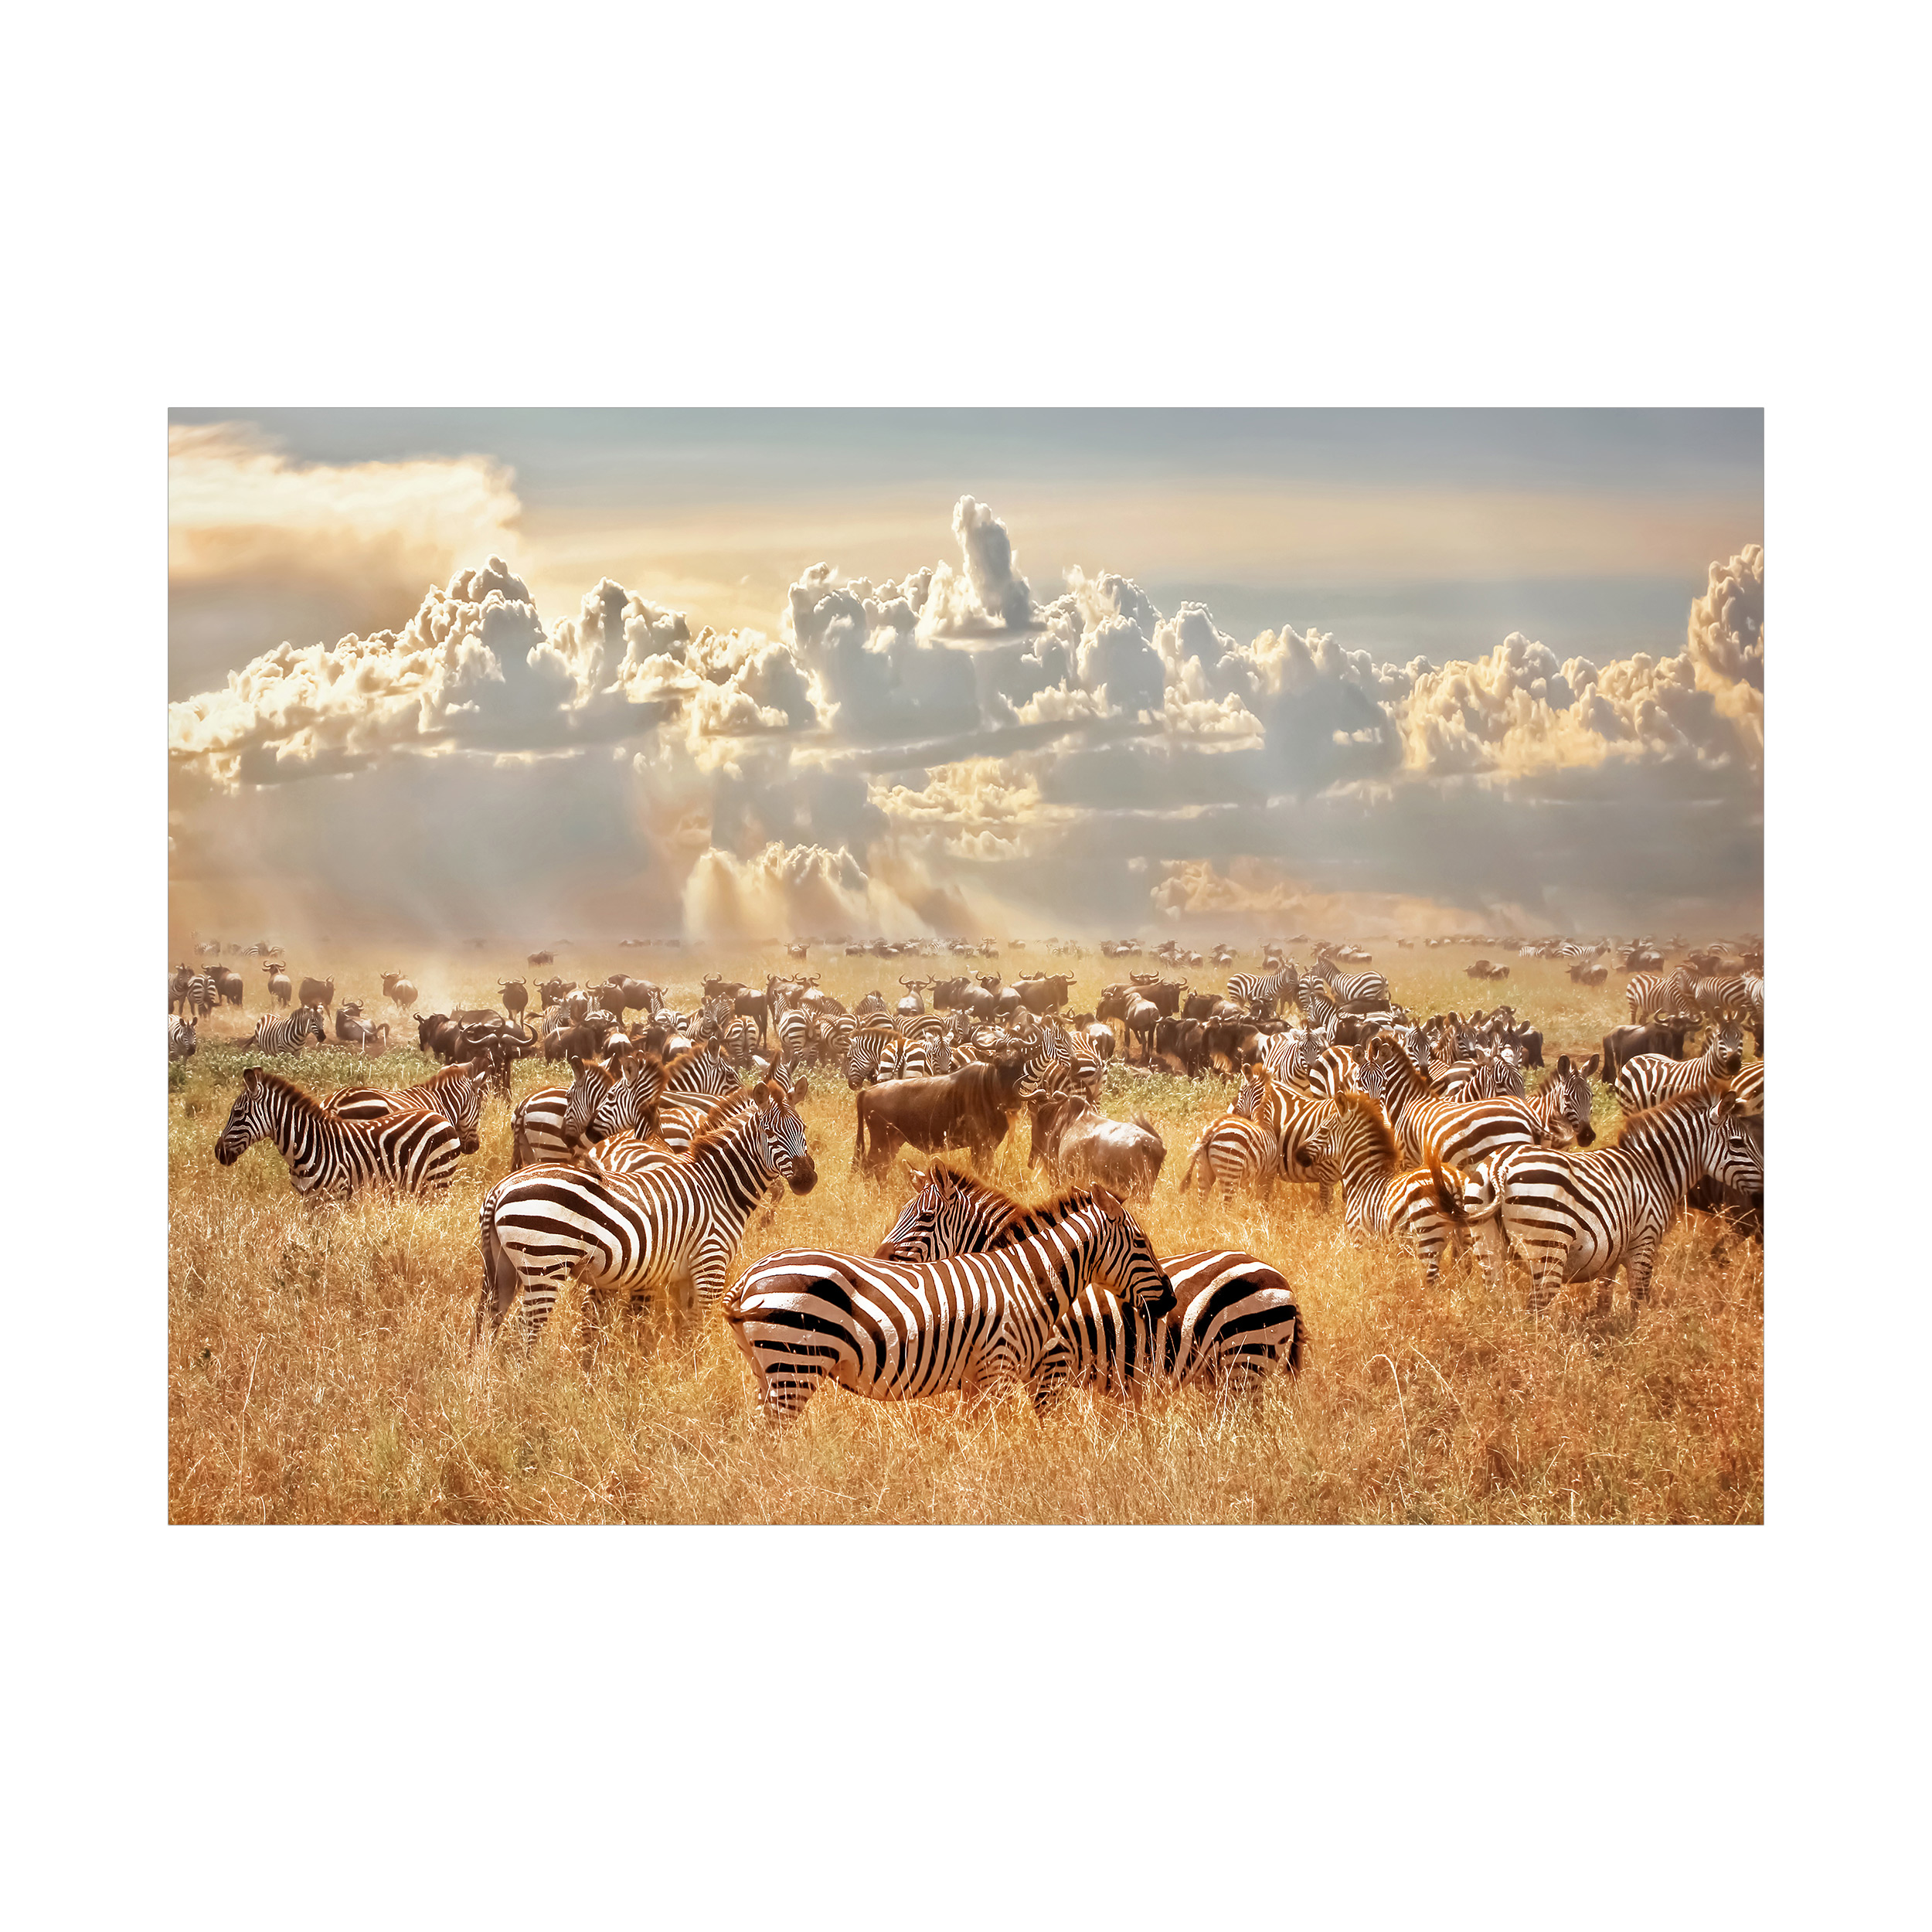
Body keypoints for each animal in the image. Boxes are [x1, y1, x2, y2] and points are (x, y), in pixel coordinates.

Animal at [214, 1067, 462, 1198]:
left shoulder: (334, 1198)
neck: (309, 1145)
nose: (218, 1152)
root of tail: (438, 1116)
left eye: (238, 1113)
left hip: (438, 1181)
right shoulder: (309, 1201)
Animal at [476, 1074, 817, 1346]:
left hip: (504, 1268)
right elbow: (699, 1329)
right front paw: (696, 1373)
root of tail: (500, 1189)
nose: (806, 1179)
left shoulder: (683, 1275)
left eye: (802, 1128)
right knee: (523, 1336)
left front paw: (677, 1371)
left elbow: (683, 1330)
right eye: (770, 1133)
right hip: (544, 1266)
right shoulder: (710, 1264)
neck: (718, 1186)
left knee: (491, 1326)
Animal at [724, 1185, 1175, 1422]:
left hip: (767, 1368)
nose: (1171, 1299)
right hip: (794, 1363)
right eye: (1142, 1244)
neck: (1026, 1280)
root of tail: (748, 1278)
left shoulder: (978, 1379)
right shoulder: (1001, 1370)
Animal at [1462, 1091, 1764, 1316]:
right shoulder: (1645, 1242)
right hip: (1548, 1249)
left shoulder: (1612, 1253)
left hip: (1486, 1244)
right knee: (1535, 1311)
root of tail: (1500, 1166)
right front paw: (1637, 1342)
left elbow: (1605, 1298)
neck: (1654, 1172)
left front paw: (1607, 1335)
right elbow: (1639, 1299)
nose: (1761, 1199)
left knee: (1498, 1301)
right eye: (1738, 1143)